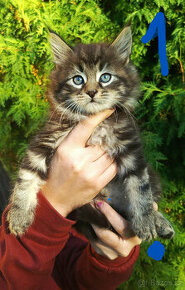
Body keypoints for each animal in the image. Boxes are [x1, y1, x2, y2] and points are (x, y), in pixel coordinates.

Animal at [6, 24, 175, 241]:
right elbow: (26, 178)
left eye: (105, 77)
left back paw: (160, 222)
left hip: (153, 177)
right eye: (78, 80)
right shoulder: (44, 140)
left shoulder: (131, 148)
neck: (95, 124)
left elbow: (141, 187)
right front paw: (18, 216)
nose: (92, 92)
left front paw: (145, 221)